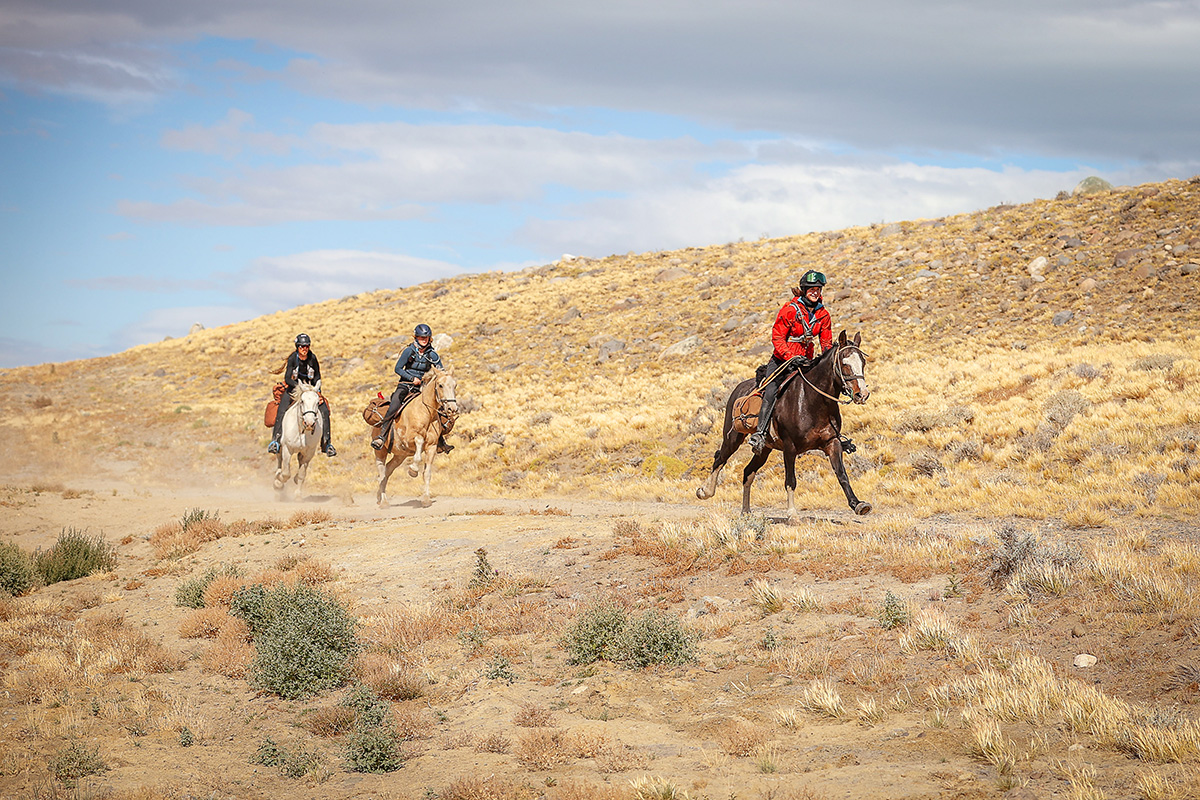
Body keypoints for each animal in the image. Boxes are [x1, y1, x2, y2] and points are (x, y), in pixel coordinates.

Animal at [372, 367, 456, 506]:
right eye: (440, 385)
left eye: (455, 385)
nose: (452, 408)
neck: (425, 412)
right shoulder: (409, 439)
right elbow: (419, 444)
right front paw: (413, 470)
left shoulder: (431, 447)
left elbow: (427, 473)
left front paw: (426, 499)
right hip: (380, 452)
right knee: (381, 473)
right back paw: (384, 502)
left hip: (400, 455)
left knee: (387, 471)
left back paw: (379, 497)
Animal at [696, 331, 873, 520]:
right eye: (844, 363)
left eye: (863, 362)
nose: (862, 394)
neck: (813, 401)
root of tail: (738, 388)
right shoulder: (790, 447)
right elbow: (790, 480)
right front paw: (792, 513)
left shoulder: (832, 442)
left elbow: (842, 474)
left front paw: (858, 504)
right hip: (733, 438)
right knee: (720, 458)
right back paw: (705, 491)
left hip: (764, 449)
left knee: (747, 472)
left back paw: (746, 512)